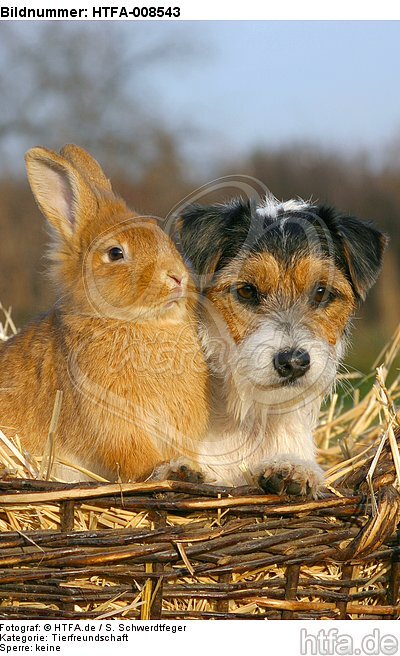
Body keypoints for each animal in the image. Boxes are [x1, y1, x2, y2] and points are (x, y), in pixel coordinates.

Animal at [0, 145, 209, 482]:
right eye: (115, 253)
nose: (177, 277)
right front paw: (172, 469)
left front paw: (188, 468)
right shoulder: (115, 424)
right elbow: (135, 461)